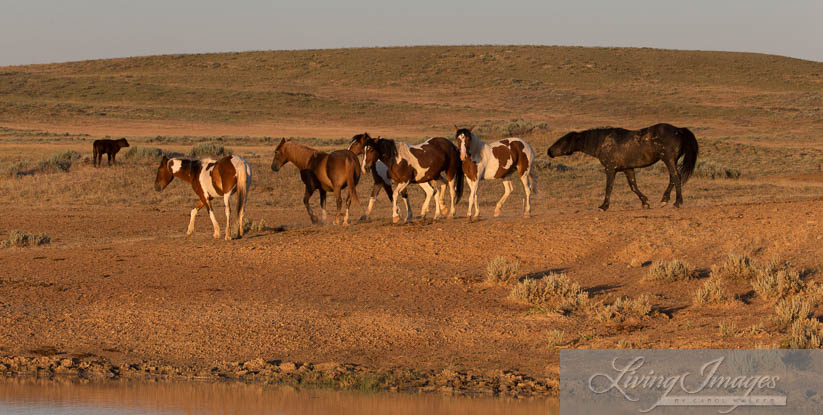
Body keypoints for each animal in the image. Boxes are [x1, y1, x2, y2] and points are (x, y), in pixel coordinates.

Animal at [552, 122, 700, 210]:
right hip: (670, 161)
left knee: (676, 177)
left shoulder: (610, 169)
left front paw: (604, 206)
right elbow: (633, 186)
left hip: (668, 160)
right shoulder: (628, 169)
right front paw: (645, 202)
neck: (602, 142)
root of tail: (679, 130)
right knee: (672, 178)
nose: (549, 151)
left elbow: (609, 187)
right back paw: (664, 199)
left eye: (563, 141)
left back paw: (677, 202)